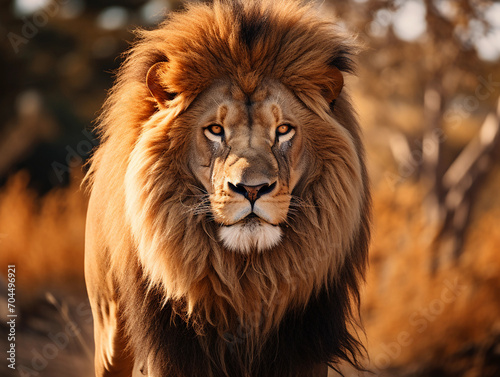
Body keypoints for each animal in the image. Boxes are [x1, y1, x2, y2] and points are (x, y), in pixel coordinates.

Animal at [84, 0, 370, 376]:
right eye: (216, 130)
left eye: (283, 130)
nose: (252, 189)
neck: (245, 277)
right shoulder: (172, 352)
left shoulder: (302, 351)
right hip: (109, 331)